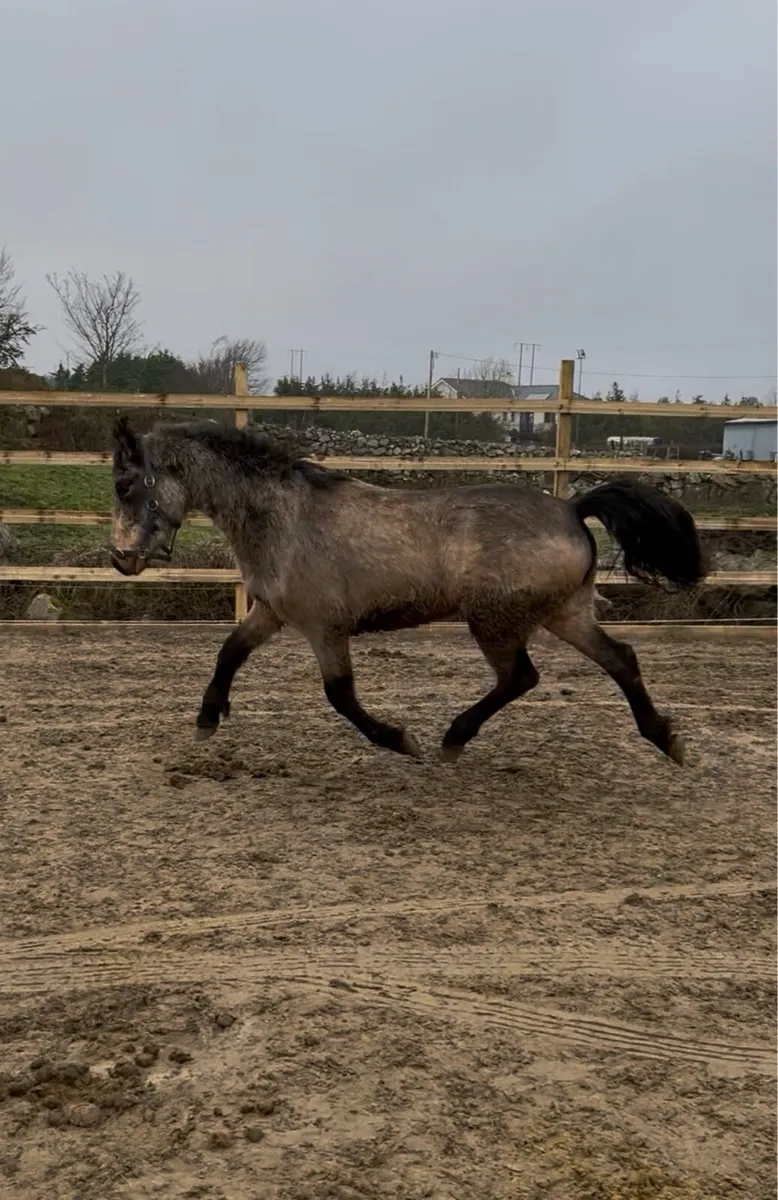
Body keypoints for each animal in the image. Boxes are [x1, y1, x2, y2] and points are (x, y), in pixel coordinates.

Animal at [110, 417, 706, 765]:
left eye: (126, 483)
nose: (121, 560)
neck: (284, 517)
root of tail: (572, 508)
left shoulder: (325, 627)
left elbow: (341, 696)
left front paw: (400, 740)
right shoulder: (272, 613)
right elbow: (228, 651)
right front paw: (207, 721)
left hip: (494, 621)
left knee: (521, 676)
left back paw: (452, 739)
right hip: (564, 613)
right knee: (620, 659)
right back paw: (666, 740)